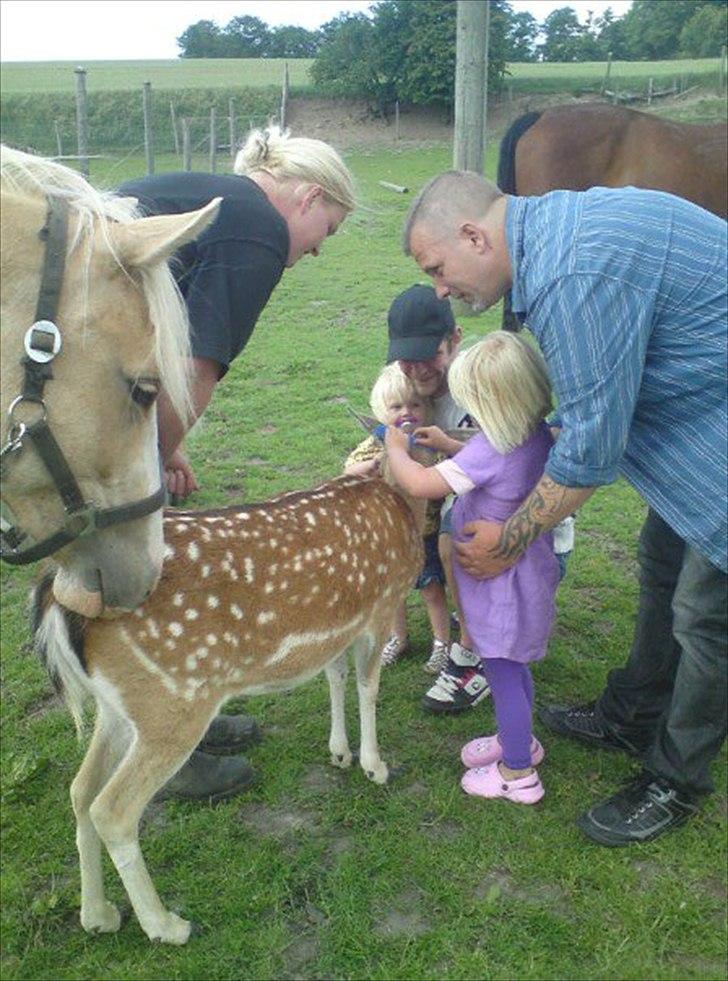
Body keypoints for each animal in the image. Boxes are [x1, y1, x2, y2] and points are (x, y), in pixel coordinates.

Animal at [32, 464, 426, 944]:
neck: (401, 505)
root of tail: (58, 598)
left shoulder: (338, 627)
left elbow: (336, 676)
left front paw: (339, 753)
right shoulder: (382, 606)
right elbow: (368, 686)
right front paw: (375, 766)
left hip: (119, 706)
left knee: (81, 788)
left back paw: (99, 915)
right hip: (174, 701)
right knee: (112, 809)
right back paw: (167, 926)